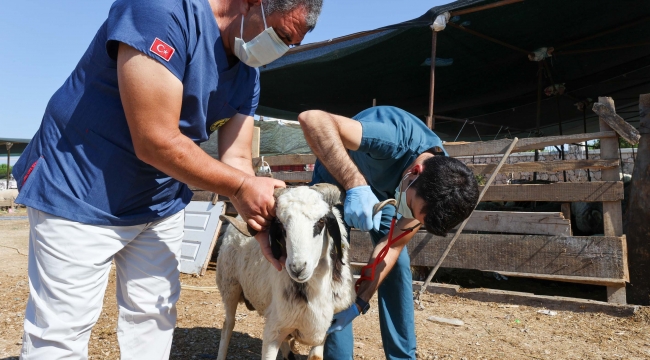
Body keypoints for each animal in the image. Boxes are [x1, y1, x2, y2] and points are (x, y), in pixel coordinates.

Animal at [215, 184, 352, 358]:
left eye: (321, 221)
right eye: (280, 225)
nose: (297, 268)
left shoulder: (324, 330)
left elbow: (315, 356)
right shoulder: (272, 332)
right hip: (230, 286)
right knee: (228, 324)